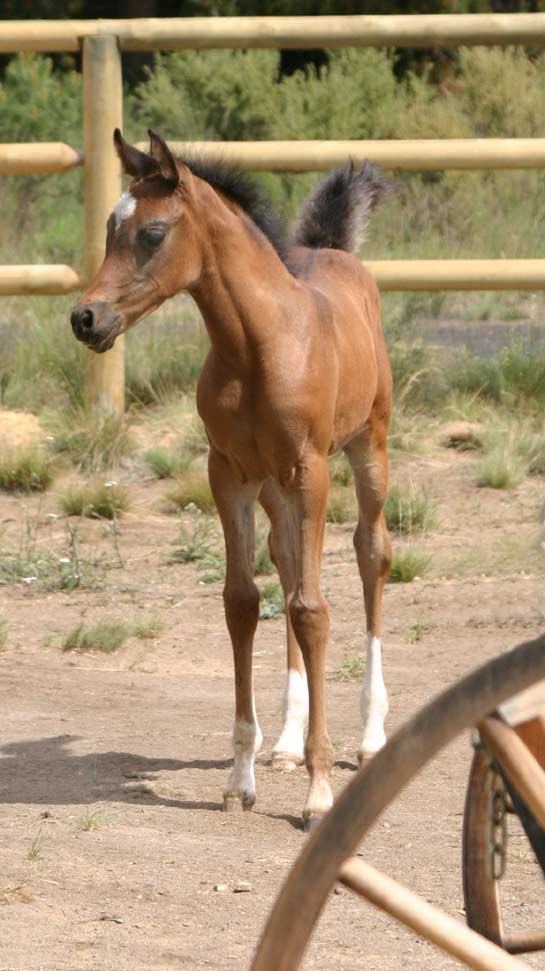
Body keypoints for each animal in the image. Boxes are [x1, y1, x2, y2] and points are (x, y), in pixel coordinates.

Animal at [70, 131, 392, 828]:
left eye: (153, 233)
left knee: (371, 554)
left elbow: (312, 609)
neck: (258, 346)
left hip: (368, 446)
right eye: (109, 228)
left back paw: (371, 736)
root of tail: (335, 251)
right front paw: (241, 779)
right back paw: (288, 744)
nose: (86, 318)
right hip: (274, 489)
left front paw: (320, 792)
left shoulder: (310, 469)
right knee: (290, 562)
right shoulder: (229, 473)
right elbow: (244, 602)